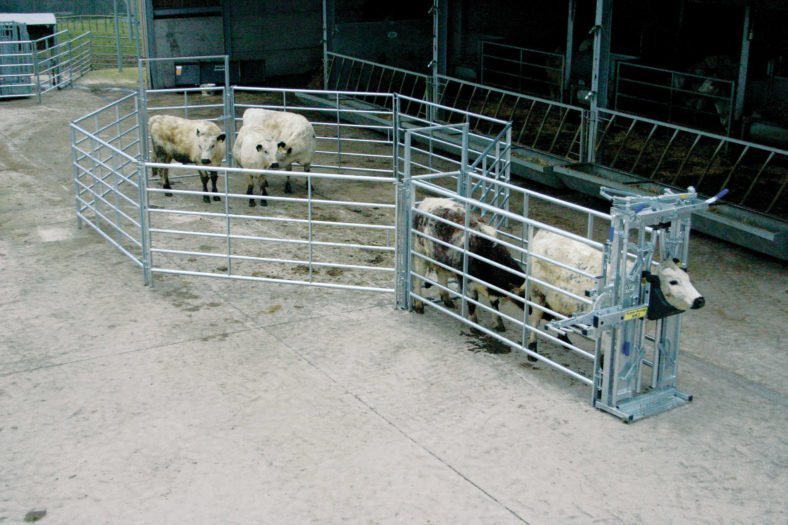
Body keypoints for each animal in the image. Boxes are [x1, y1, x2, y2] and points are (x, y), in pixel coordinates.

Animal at [411, 197, 526, 332]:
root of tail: (428, 200)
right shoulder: (468, 281)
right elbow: (473, 301)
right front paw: (474, 324)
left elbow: (494, 303)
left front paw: (498, 323)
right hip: (420, 253)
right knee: (418, 279)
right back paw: (419, 305)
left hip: (441, 256)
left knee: (441, 275)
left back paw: (447, 299)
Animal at [526, 229, 705, 356]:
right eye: (673, 282)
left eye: (688, 278)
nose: (700, 300)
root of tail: (543, 232)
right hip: (537, 292)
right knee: (535, 318)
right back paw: (532, 348)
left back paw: (564, 340)